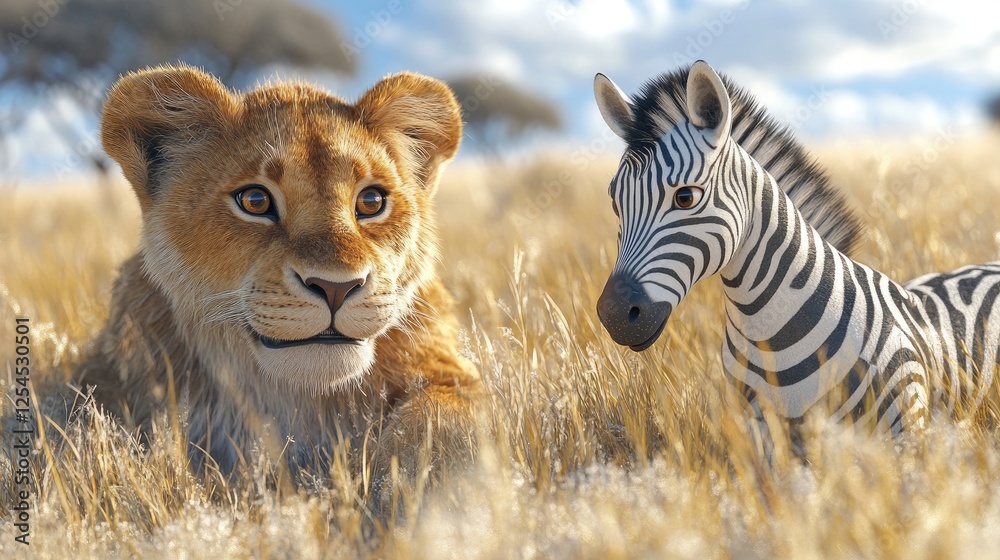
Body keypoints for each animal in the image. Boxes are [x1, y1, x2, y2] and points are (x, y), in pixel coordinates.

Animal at [74, 64, 481, 491]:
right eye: (255, 201)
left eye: (371, 202)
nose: (336, 287)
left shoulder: (450, 370)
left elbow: (441, 414)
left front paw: (404, 487)